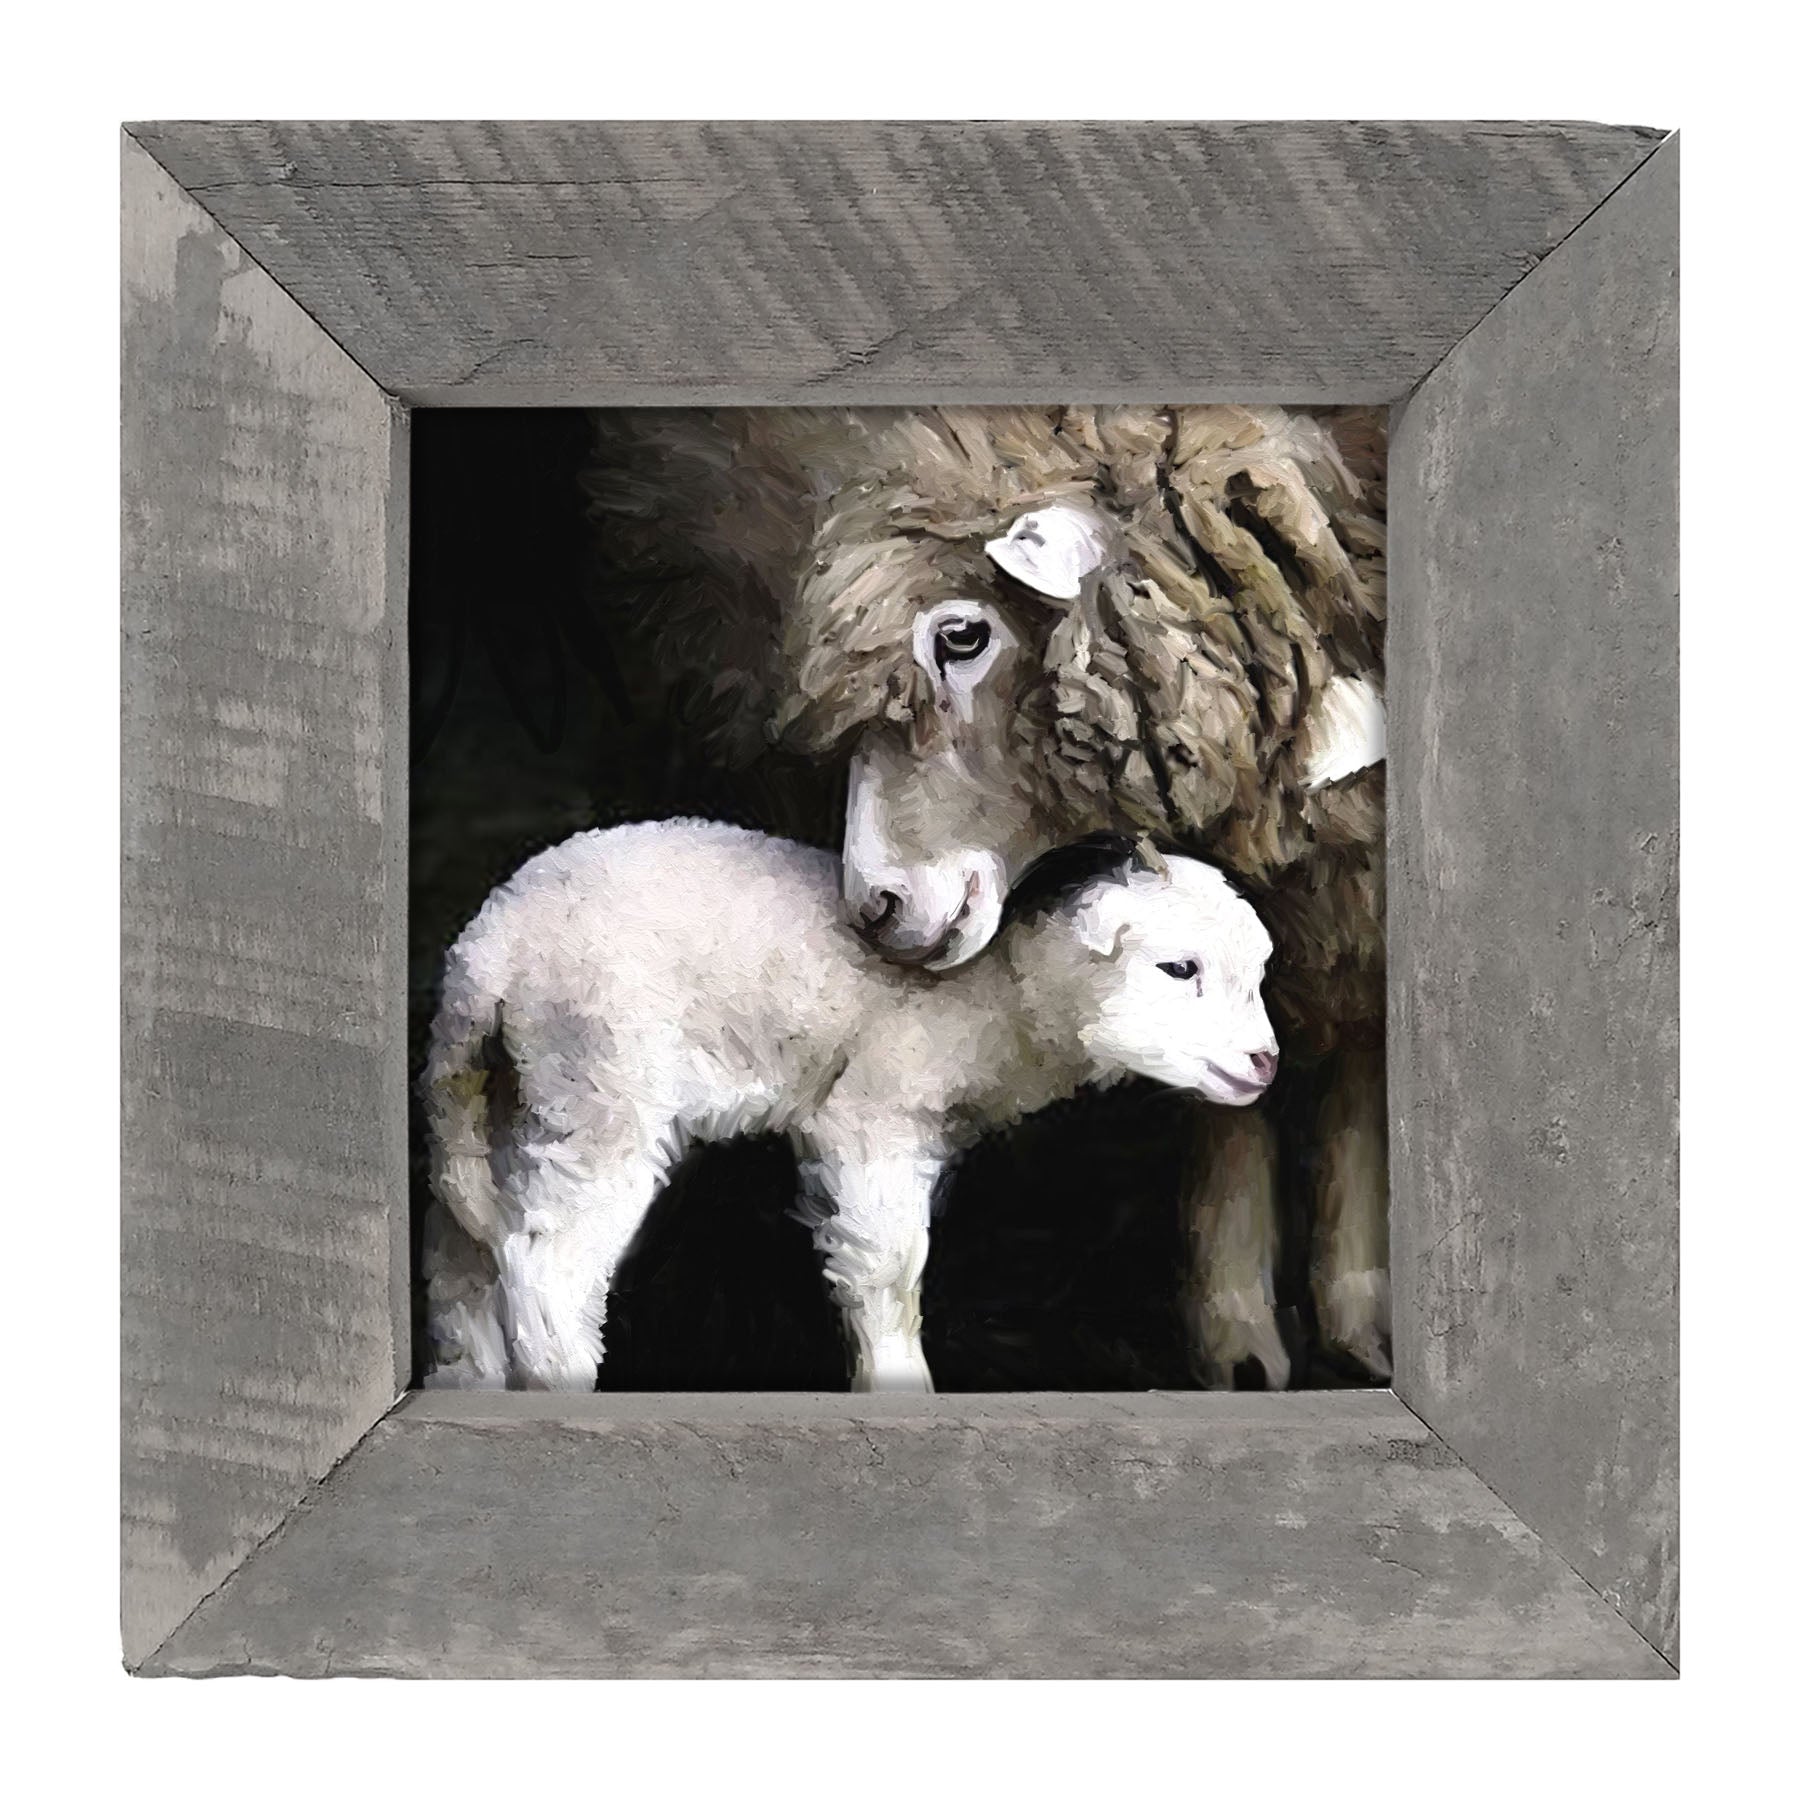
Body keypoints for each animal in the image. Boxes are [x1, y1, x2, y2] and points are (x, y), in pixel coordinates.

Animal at [422, 820, 1279, 1393]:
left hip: (517, 1094)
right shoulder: (875, 1113)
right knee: (547, 1265)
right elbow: (890, 1271)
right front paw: (900, 1386)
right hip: (602, 1082)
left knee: (467, 1259)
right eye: (1179, 968)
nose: (1264, 1063)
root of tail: (486, 952)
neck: (1000, 999)